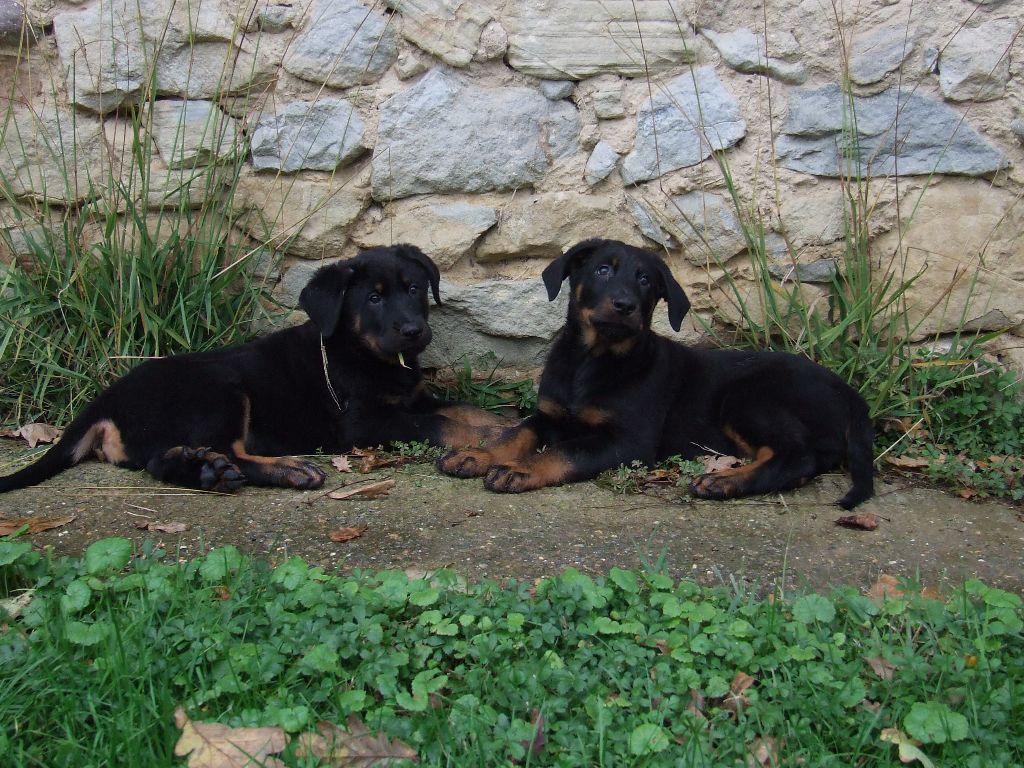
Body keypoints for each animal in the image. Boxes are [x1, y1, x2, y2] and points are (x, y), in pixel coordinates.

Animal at [2, 247, 505, 499]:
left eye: (415, 288)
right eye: (374, 298)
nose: (414, 331)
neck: (360, 352)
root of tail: (105, 402)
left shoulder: (415, 397)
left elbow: (465, 409)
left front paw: (502, 424)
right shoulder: (365, 423)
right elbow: (441, 425)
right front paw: (487, 439)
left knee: (165, 461)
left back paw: (210, 473)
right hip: (218, 390)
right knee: (219, 450)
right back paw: (287, 470)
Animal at [436, 237, 876, 507]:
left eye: (646, 279)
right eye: (602, 270)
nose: (625, 305)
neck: (591, 361)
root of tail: (849, 393)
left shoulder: (628, 442)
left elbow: (566, 451)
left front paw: (518, 469)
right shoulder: (550, 415)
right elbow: (516, 433)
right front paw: (477, 454)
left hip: (748, 397)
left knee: (795, 455)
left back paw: (724, 481)